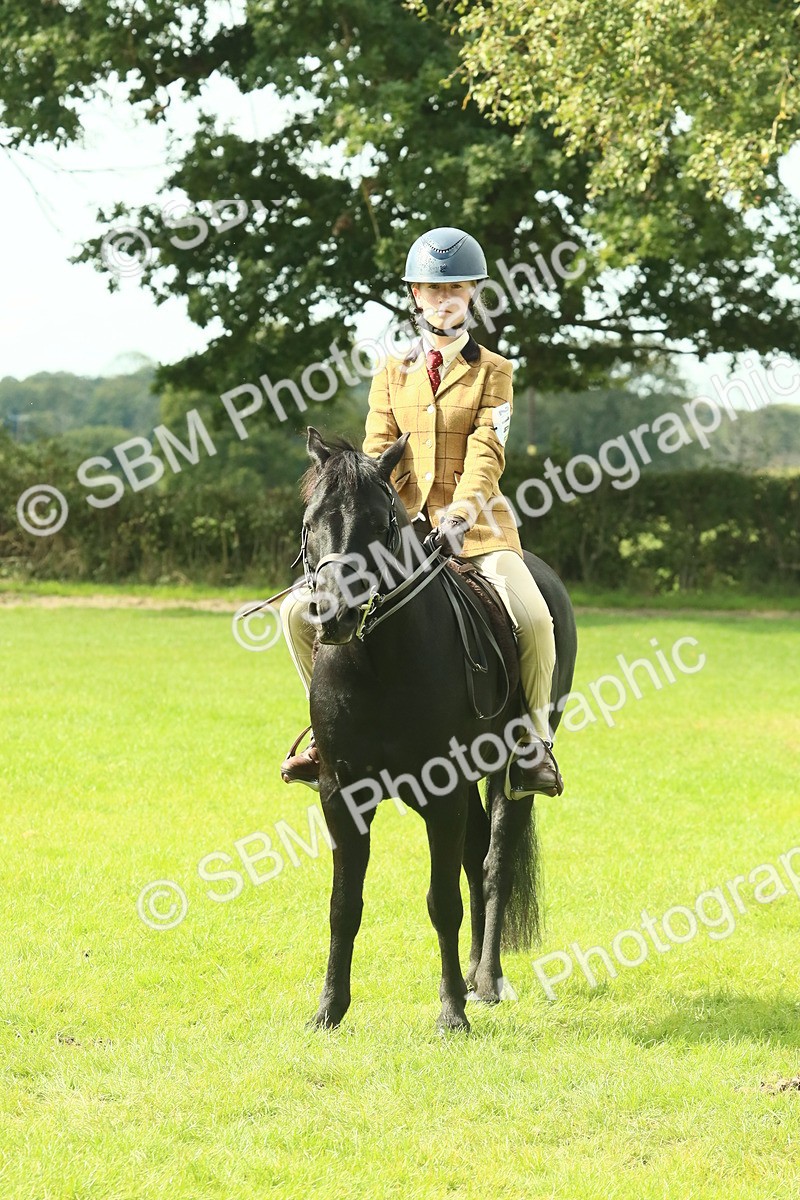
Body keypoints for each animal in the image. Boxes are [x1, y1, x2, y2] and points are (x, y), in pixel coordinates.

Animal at [299, 427, 577, 1032]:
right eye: (311, 520)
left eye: (381, 521)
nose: (332, 613)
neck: (375, 659)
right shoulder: (341, 795)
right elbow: (343, 905)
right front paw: (329, 1009)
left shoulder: (441, 792)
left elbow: (443, 901)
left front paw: (451, 1013)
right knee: (474, 858)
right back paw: (474, 975)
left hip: (506, 775)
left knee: (493, 865)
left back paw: (487, 982)